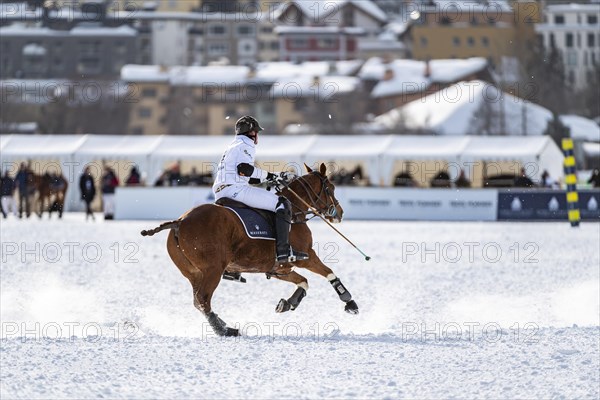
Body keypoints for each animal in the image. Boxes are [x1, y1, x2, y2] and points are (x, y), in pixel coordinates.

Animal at [141, 164, 356, 336]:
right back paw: (225, 330)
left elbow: (303, 282)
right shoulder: (305, 256)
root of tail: (179, 222)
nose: (340, 213)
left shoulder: (278, 269)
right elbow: (328, 272)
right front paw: (349, 302)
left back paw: (224, 325)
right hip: (213, 269)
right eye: (330, 188)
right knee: (203, 299)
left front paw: (287, 303)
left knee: (198, 300)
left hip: (193, 273)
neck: (295, 212)